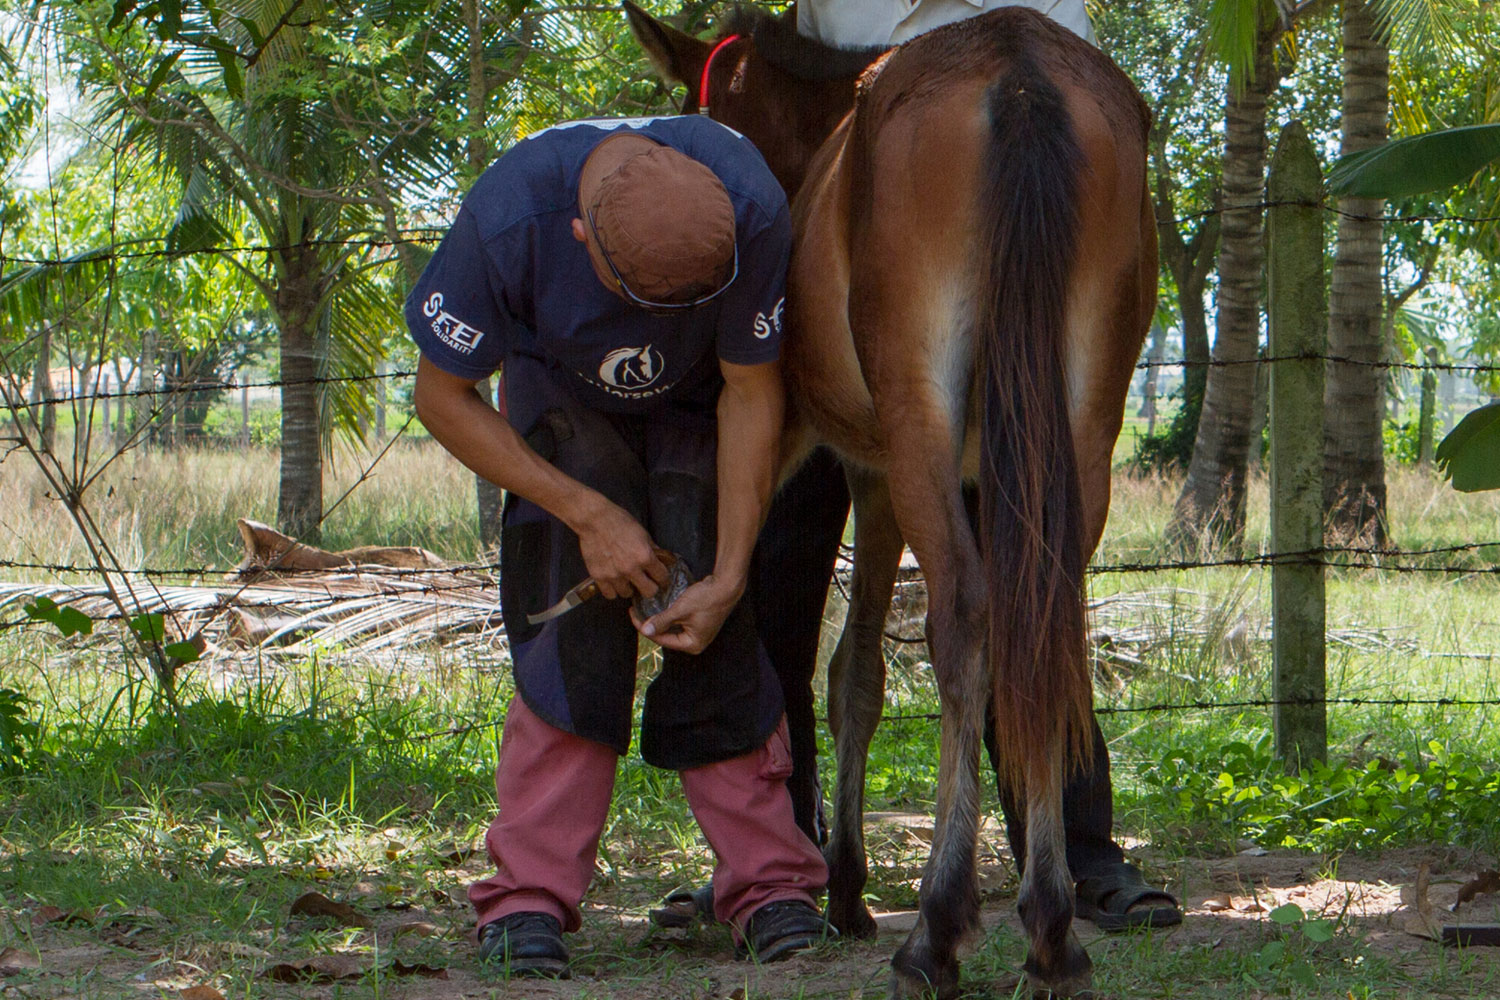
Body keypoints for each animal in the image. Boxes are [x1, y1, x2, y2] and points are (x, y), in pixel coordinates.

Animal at [627, 3, 1152, 995]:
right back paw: (1053, 925)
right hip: (1079, 430)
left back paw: (942, 926)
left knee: (966, 619)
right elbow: (861, 670)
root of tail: (1017, 70)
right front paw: (841, 881)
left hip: (919, 421)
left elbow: (847, 670)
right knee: (1046, 622)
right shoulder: (899, 481)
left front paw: (840, 880)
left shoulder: (847, 462)